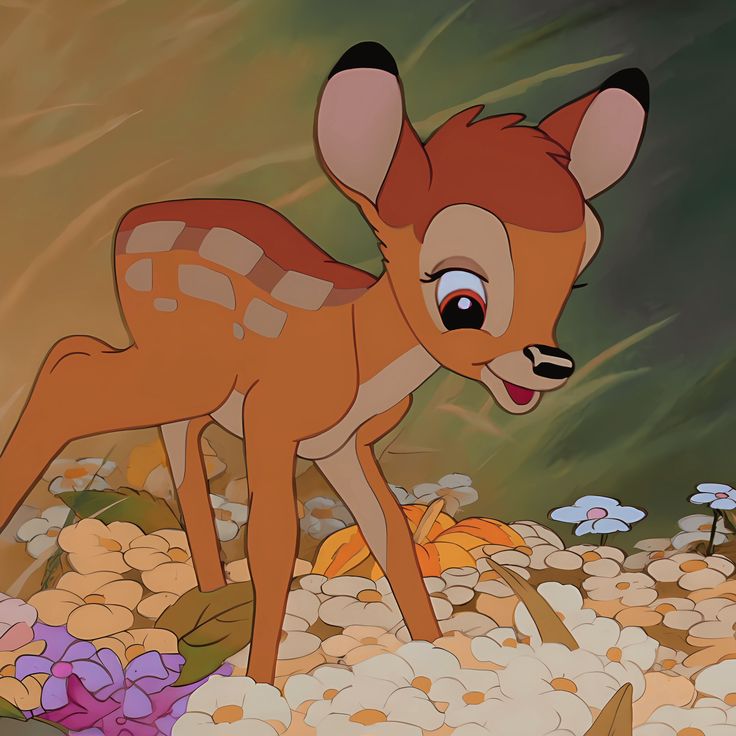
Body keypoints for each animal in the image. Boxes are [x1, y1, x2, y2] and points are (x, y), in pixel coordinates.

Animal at [0, 41, 648, 683]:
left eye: (573, 279)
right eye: (462, 300)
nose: (549, 363)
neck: (358, 349)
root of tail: (129, 221)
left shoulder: (345, 445)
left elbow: (389, 532)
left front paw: (436, 653)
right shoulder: (271, 421)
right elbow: (273, 544)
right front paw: (262, 684)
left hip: (189, 383)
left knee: (134, 406)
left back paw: (206, 598)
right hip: (185, 374)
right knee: (69, 370)